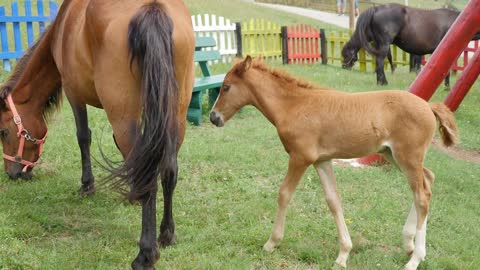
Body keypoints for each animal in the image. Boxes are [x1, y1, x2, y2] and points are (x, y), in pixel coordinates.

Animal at [0, 1, 195, 268]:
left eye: (3, 132)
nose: (13, 173)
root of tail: (152, 9)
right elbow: (131, 155)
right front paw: (132, 194)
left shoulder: (74, 92)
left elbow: (83, 137)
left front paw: (87, 186)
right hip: (175, 113)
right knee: (168, 169)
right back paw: (167, 234)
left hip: (123, 114)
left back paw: (145, 254)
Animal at [210, 55, 458, 270]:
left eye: (227, 87)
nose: (213, 117)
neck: (293, 106)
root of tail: (429, 107)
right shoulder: (322, 160)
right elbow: (333, 200)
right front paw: (343, 254)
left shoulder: (300, 157)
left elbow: (284, 194)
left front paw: (272, 242)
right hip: (393, 156)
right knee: (427, 180)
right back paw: (408, 244)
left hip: (407, 157)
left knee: (422, 196)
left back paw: (415, 258)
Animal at [342, 3, 480, 85]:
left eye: (345, 55)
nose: (344, 67)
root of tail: (376, 8)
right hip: (384, 44)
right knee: (380, 62)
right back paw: (384, 82)